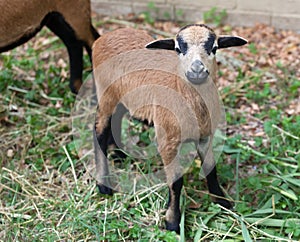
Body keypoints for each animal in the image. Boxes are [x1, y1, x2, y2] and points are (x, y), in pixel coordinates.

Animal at [92, 24, 247, 233]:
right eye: (178, 49)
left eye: (214, 48)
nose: (197, 70)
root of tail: (104, 37)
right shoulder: (167, 141)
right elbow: (176, 181)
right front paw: (172, 221)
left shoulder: (205, 136)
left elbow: (210, 168)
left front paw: (222, 202)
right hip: (106, 93)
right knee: (99, 129)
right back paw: (104, 184)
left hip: (124, 95)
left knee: (115, 121)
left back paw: (119, 154)